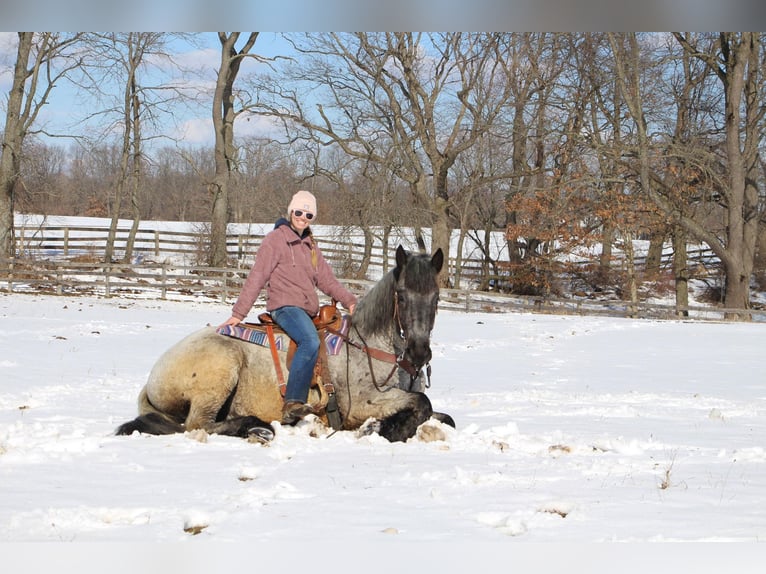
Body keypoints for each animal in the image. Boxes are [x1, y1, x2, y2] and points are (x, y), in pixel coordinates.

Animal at [115, 246, 452, 446]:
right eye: (402, 296)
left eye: (435, 298)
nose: (419, 352)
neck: (368, 345)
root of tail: (153, 378)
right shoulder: (362, 404)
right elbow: (423, 403)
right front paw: (382, 429)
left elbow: (443, 415)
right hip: (220, 374)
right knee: (197, 424)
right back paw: (257, 427)